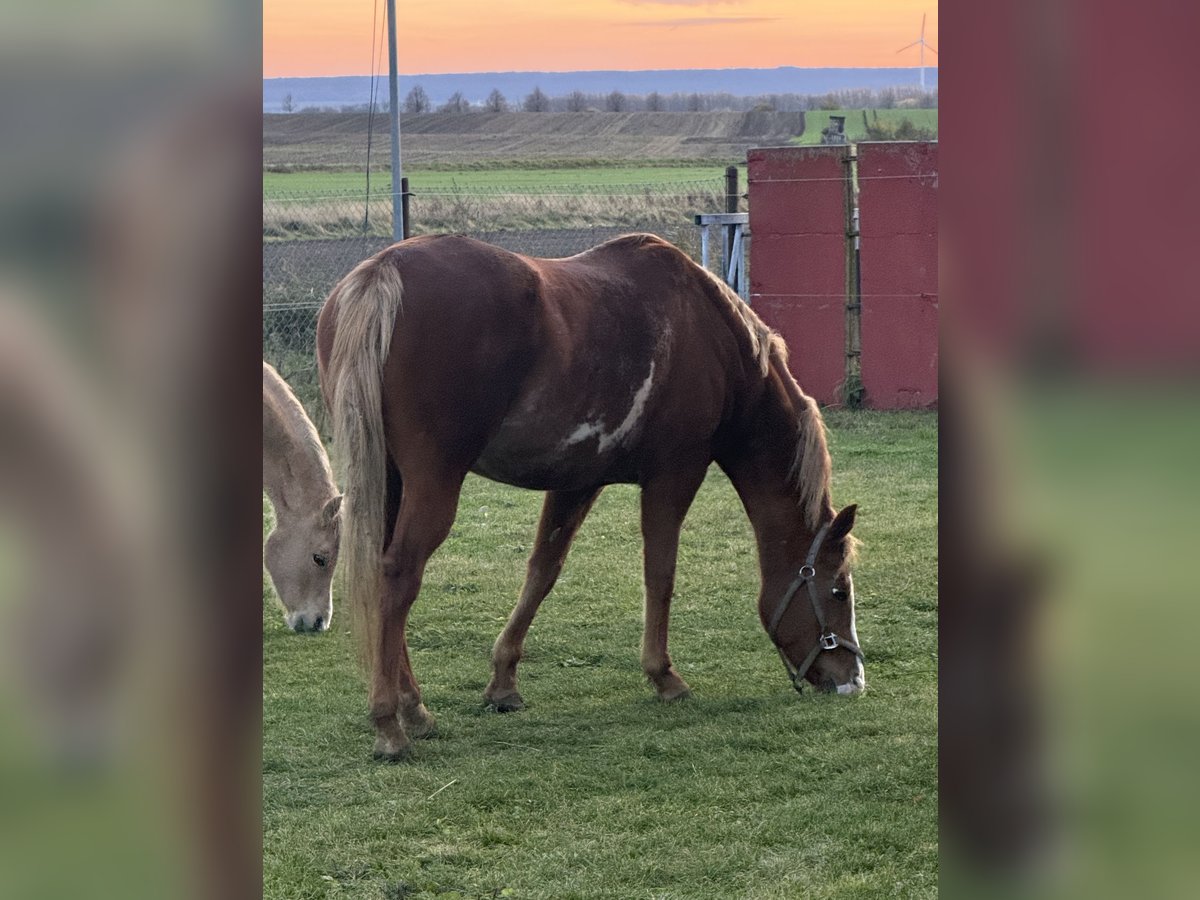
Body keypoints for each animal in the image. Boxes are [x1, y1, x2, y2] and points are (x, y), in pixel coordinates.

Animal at [317, 233, 864, 760]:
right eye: (839, 590)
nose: (852, 680)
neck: (714, 339)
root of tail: (385, 270)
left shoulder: (576, 482)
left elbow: (543, 571)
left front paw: (503, 682)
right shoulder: (674, 475)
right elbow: (660, 575)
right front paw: (664, 676)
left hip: (391, 481)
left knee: (382, 573)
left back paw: (414, 709)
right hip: (434, 483)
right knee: (399, 576)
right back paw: (392, 723)